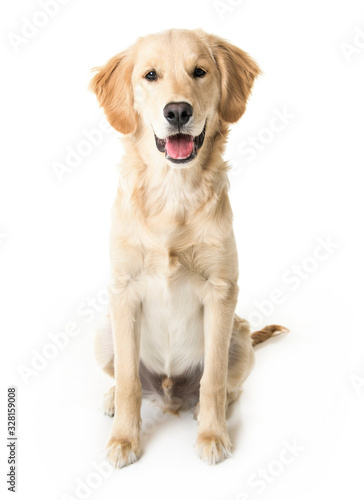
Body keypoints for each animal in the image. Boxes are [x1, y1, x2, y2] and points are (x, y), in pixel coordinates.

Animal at [91, 29, 288, 466]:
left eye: (199, 72)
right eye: (150, 75)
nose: (178, 111)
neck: (172, 191)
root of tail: (168, 393)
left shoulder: (221, 291)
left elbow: (212, 380)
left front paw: (213, 435)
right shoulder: (122, 290)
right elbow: (129, 381)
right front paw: (123, 439)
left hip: (239, 336)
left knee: (227, 386)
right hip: (104, 330)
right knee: (129, 380)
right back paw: (111, 398)